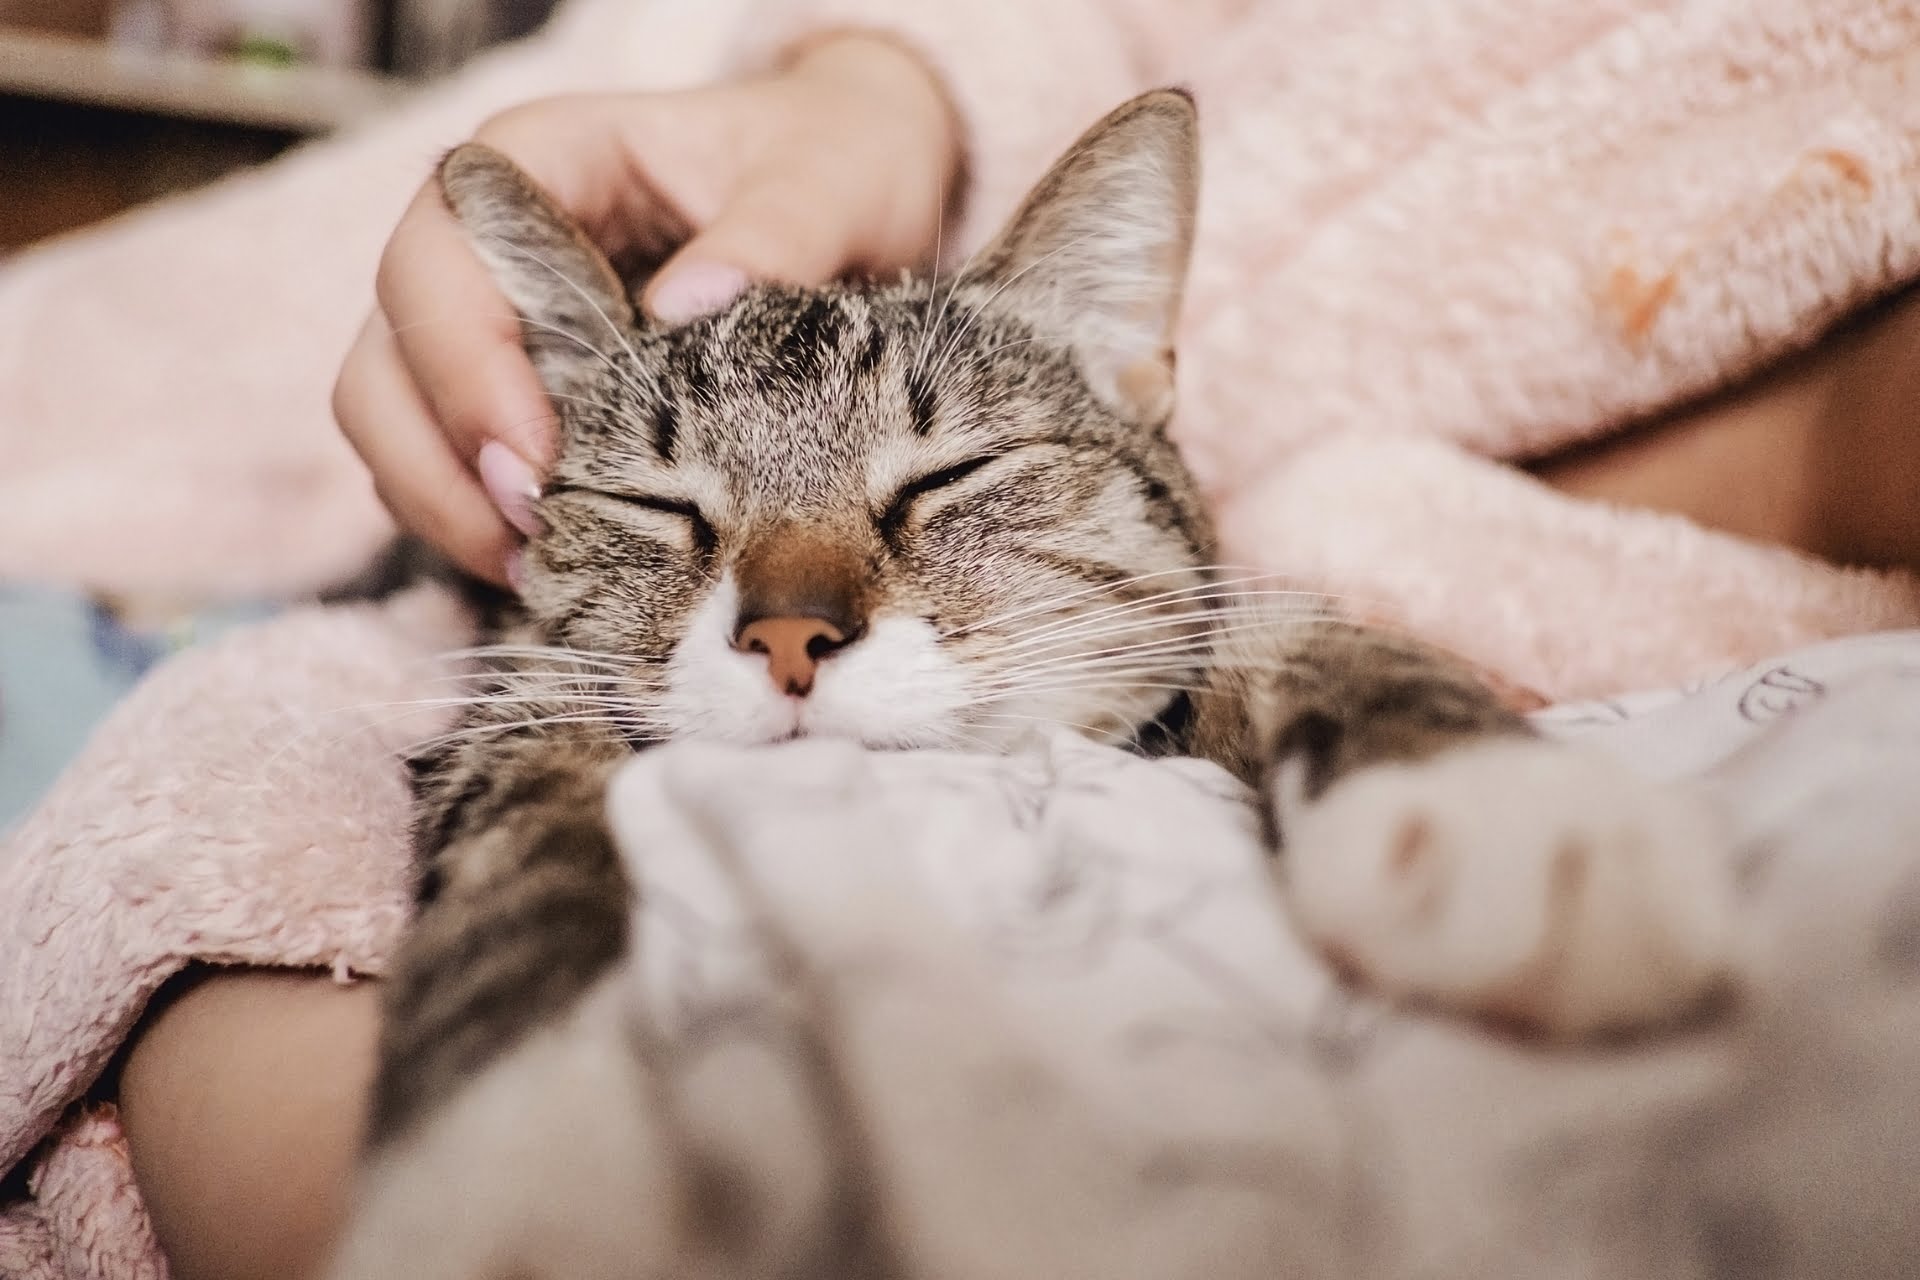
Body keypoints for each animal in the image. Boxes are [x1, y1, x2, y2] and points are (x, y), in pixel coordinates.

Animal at [353, 87, 1735, 1189]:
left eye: (948, 476)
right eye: (659, 506)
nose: (792, 633)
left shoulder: (1193, 624)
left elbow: (1312, 632)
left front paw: (1499, 803)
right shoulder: (507, 708)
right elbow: (525, 859)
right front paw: (525, 1132)